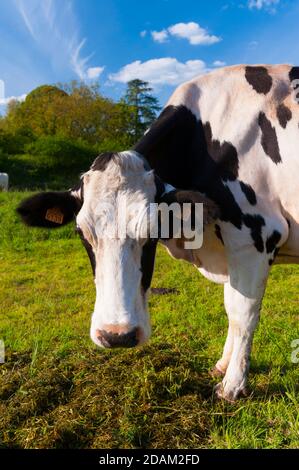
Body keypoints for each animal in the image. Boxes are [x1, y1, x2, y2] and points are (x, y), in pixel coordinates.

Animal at [17, 63, 299, 400]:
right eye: (81, 233)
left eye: (152, 233)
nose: (117, 335)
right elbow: (231, 306)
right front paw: (222, 365)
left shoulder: (256, 236)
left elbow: (243, 313)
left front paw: (232, 386)